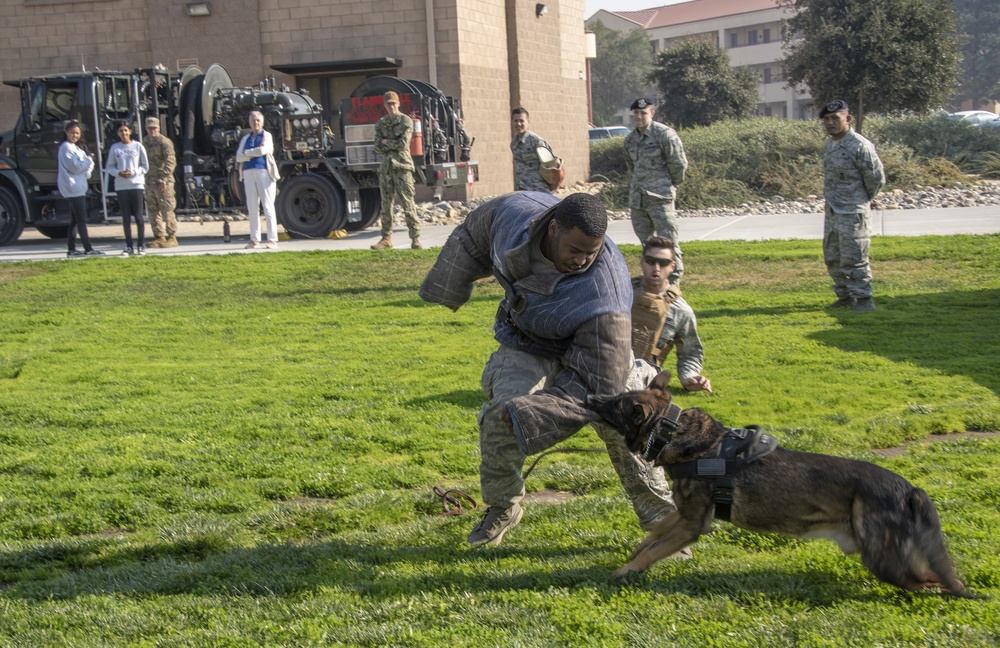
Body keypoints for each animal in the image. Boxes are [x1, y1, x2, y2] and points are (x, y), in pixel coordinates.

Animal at [588, 374, 972, 596]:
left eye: (617, 403)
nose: (590, 398)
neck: (676, 433)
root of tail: (910, 490)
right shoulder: (686, 515)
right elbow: (655, 532)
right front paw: (636, 550)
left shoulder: (693, 523)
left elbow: (655, 549)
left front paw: (626, 570)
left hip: (885, 562)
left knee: (938, 583)